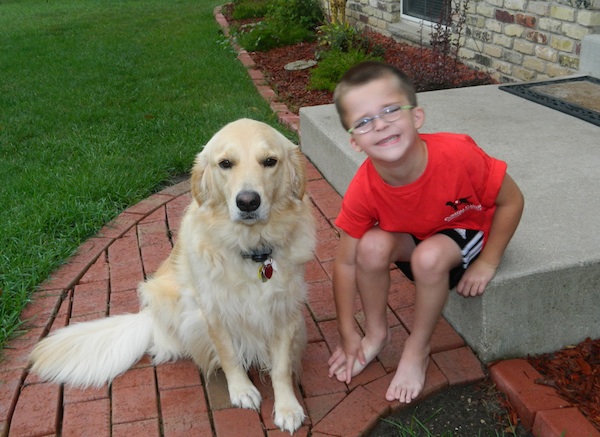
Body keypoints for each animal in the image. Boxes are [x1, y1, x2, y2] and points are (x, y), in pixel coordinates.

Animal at [30, 118, 316, 432]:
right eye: (225, 163)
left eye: (270, 161)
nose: (248, 202)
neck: (251, 247)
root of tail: (148, 317)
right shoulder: (213, 312)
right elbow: (228, 355)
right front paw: (241, 390)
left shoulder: (285, 310)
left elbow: (281, 367)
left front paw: (287, 407)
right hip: (175, 302)